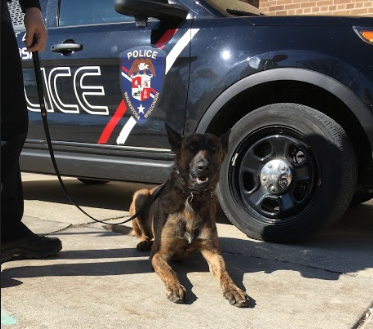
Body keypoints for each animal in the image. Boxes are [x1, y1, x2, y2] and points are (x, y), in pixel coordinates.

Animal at [129, 124, 250, 306]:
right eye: (191, 147)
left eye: (213, 149)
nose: (203, 167)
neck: (192, 198)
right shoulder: (159, 254)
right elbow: (170, 271)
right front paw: (175, 287)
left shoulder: (213, 253)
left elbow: (225, 274)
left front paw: (234, 290)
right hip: (140, 195)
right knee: (143, 233)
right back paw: (143, 242)